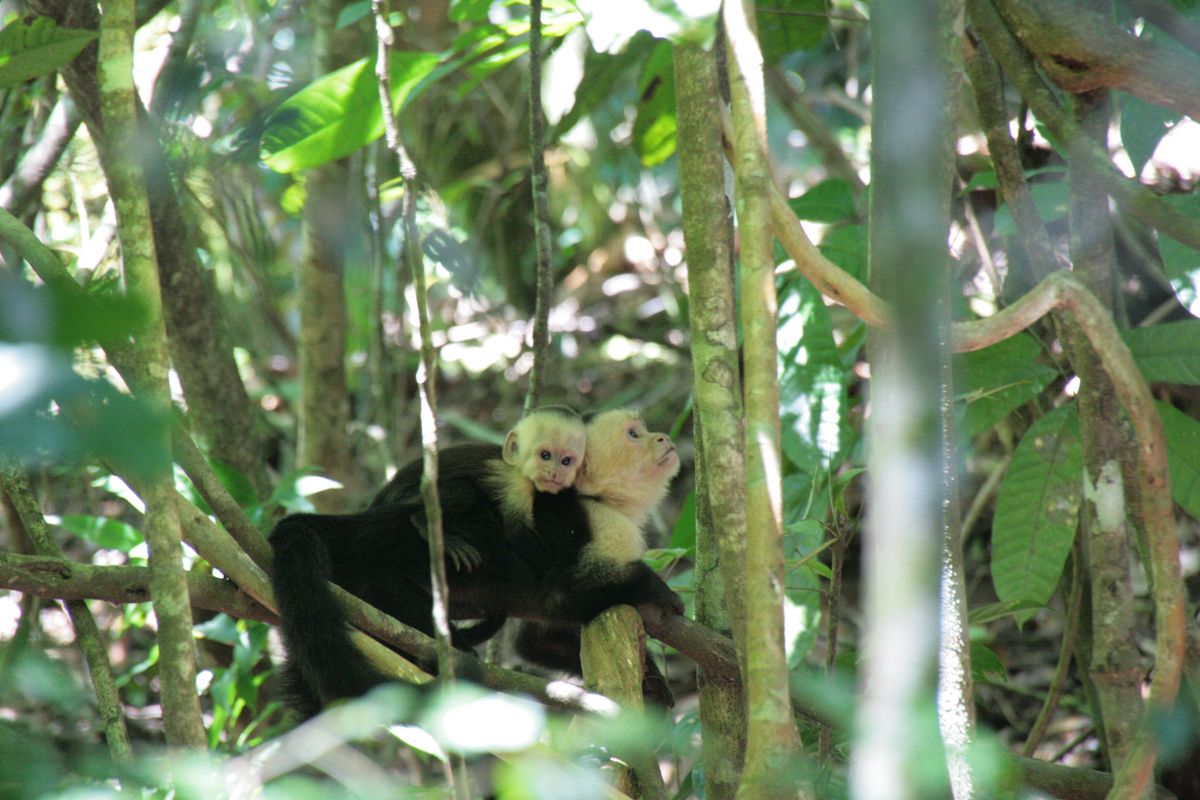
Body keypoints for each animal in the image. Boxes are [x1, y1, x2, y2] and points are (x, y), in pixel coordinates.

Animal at [273, 410, 590, 714]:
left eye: (567, 460)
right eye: (545, 455)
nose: (555, 472)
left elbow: (536, 642)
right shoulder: (516, 487)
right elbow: (518, 533)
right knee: (458, 496)